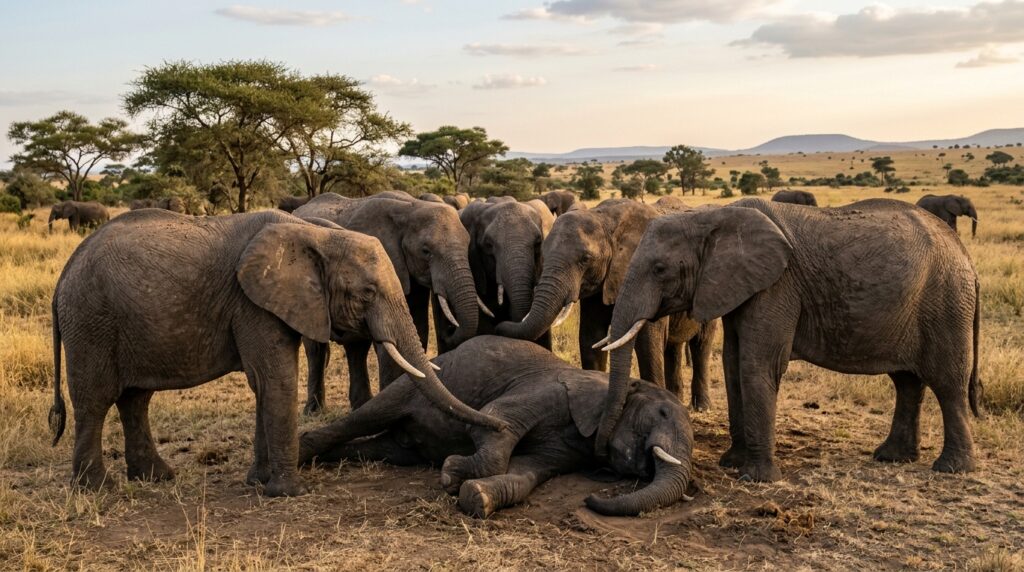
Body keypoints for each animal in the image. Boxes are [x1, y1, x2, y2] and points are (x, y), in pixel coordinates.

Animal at [293, 192, 488, 413]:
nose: (449, 331)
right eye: (426, 251)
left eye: (467, 244)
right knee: (316, 350)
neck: (411, 208)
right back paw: (314, 411)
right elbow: (388, 340)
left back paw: (361, 404)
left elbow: (418, 330)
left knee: (356, 348)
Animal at [299, 336, 696, 518]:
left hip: (401, 448)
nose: (590, 498)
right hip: (414, 384)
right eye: (662, 413)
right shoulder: (547, 389)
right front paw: (451, 473)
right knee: (367, 416)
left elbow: (525, 471)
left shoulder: (571, 447)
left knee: (381, 448)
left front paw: (477, 496)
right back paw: (302, 451)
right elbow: (496, 420)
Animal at [496, 199, 718, 411]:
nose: (500, 324)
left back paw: (701, 407)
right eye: (541, 252)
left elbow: (648, 344)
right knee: (673, 346)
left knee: (701, 344)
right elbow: (590, 338)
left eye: (585, 259)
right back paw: (678, 398)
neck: (605, 219)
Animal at [597, 198, 982, 482]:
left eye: (660, 269)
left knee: (948, 382)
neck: (712, 215)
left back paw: (952, 468)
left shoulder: (776, 286)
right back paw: (892, 457)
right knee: (907, 382)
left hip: (946, 302)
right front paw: (731, 462)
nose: (604, 454)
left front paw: (756, 478)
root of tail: (965, 255)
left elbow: (757, 365)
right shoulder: (740, 288)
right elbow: (733, 363)